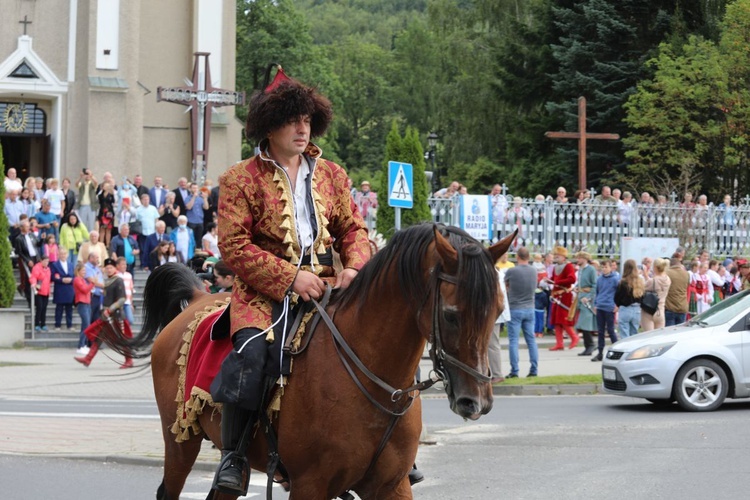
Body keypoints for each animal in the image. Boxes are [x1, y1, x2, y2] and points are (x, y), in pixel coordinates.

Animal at [110, 224, 516, 500]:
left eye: (499, 309)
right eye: (450, 314)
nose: (477, 401)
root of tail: (197, 296)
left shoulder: (391, 486)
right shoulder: (310, 485)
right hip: (180, 442)